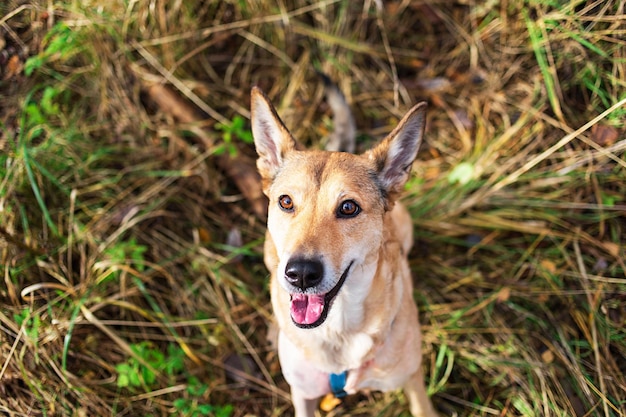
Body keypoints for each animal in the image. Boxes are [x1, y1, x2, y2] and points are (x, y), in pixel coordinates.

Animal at [249, 82, 434, 416]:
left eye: (348, 207)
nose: (301, 274)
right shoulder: (303, 394)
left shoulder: (412, 379)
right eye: (286, 201)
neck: (337, 332)